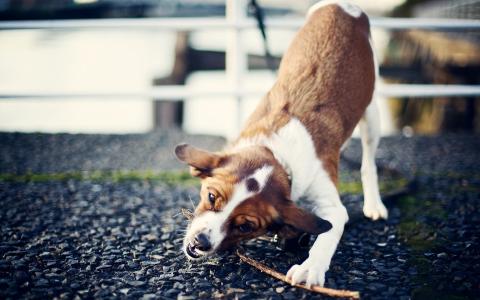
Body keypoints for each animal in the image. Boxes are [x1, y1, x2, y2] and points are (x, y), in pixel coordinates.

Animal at [174, 1, 388, 288]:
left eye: (245, 226)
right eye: (210, 197)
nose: (201, 242)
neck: (279, 152)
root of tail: (342, 6)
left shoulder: (331, 202)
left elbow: (328, 232)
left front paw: (311, 267)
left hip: (373, 113)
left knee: (369, 163)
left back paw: (374, 204)